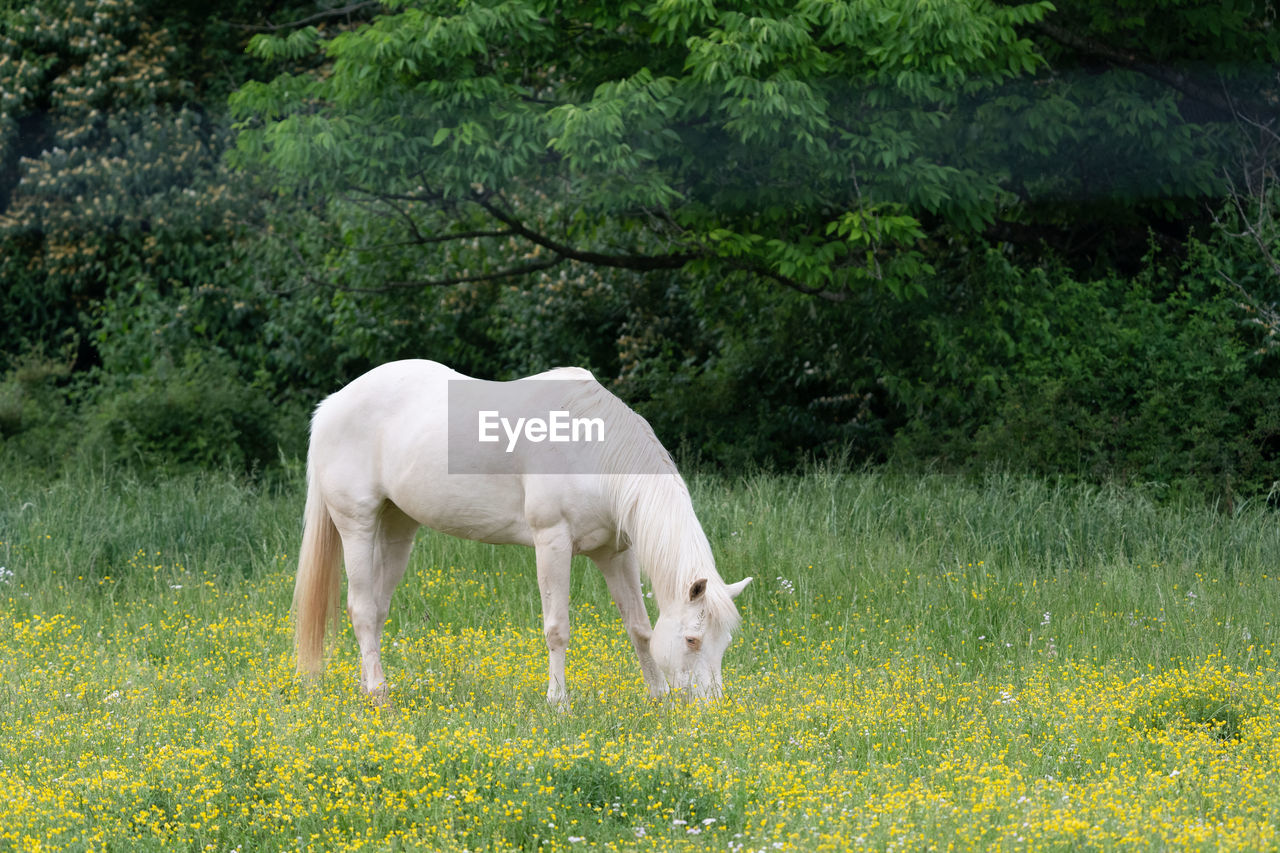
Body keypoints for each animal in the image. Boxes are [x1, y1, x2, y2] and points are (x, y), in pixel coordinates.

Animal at [293, 356, 747, 701]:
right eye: (692, 640)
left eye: (724, 641)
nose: (712, 707)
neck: (589, 447)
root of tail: (332, 404)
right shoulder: (552, 542)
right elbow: (557, 629)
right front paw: (558, 703)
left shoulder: (616, 553)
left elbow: (639, 628)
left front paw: (658, 698)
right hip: (356, 525)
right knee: (362, 609)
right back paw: (378, 694)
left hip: (397, 527)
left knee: (377, 609)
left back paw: (367, 685)